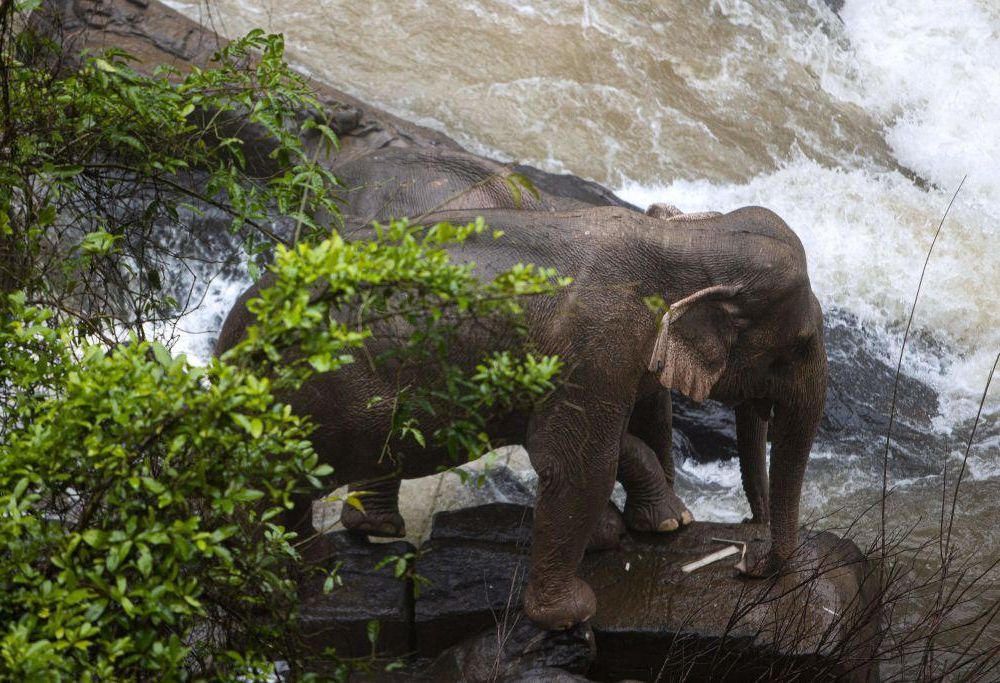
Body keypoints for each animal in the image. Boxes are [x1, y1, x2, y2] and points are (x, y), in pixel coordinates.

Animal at [219, 206, 828, 632]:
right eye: (801, 344)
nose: (747, 560)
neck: (686, 239)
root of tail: (230, 339)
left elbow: (610, 437)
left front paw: (649, 527)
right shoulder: (597, 342)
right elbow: (576, 463)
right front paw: (573, 612)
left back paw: (340, 548)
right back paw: (288, 578)